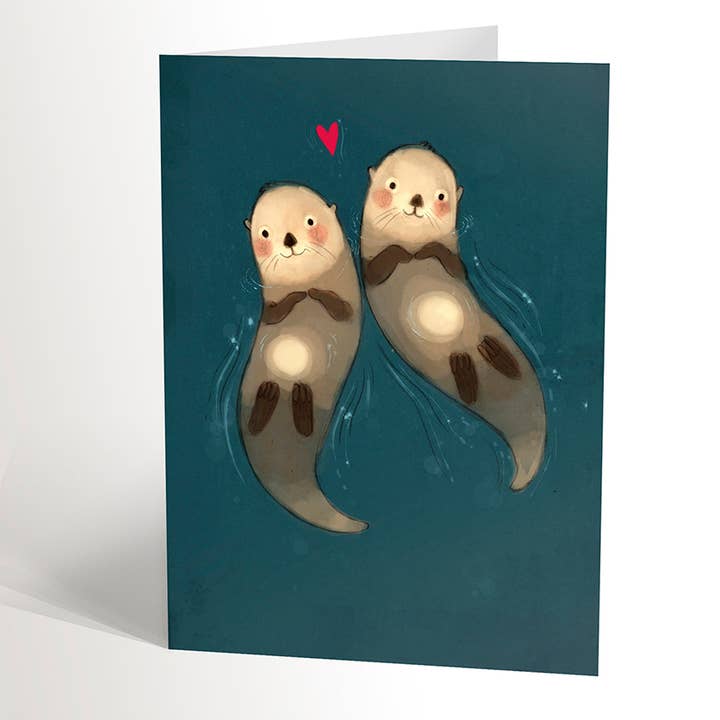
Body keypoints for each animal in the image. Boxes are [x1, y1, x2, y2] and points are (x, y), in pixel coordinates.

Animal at [238, 184, 367, 532]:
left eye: (310, 221)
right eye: (265, 232)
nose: (289, 239)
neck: (305, 278)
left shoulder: (350, 304)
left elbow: (339, 309)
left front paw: (315, 295)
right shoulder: (271, 310)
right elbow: (276, 311)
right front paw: (298, 297)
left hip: (318, 402)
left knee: (305, 417)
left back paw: (298, 405)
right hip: (251, 391)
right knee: (255, 418)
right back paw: (269, 399)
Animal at [360, 144, 546, 490]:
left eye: (441, 196)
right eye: (392, 185)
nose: (416, 200)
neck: (411, 242)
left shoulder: (454, 263)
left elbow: (449, 261)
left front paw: (428, 251)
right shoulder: (370, 266)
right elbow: (383, 263)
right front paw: (401, 254)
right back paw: (470, 376)